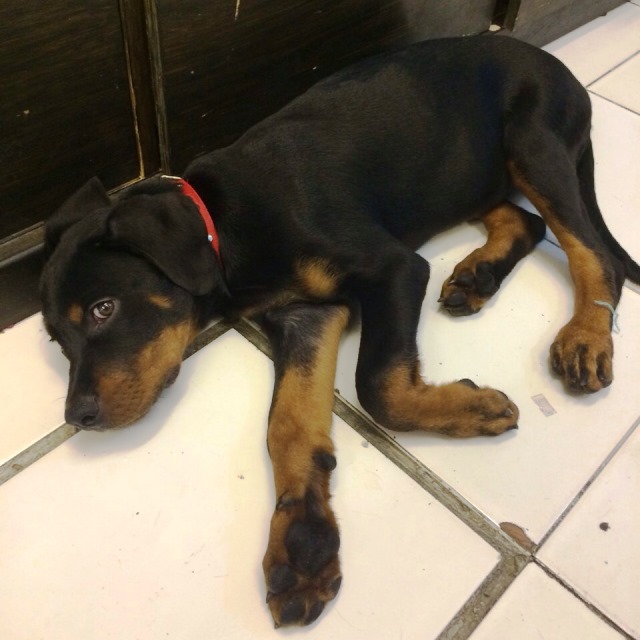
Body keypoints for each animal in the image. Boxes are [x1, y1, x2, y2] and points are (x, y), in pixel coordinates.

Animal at [40, 35, 640, 627]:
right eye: (56, 340)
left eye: (103, 308)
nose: (78, 417)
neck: (221, 224)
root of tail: (554, 64)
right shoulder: (306, 315)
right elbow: (288, 425)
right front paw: (303, 549)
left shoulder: (394, 269)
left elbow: (379, 385)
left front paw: (475, 408)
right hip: (472, 170)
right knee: (527, 221)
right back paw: (478, 275)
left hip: (531, 144)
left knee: (595, 254)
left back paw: (586, 336)